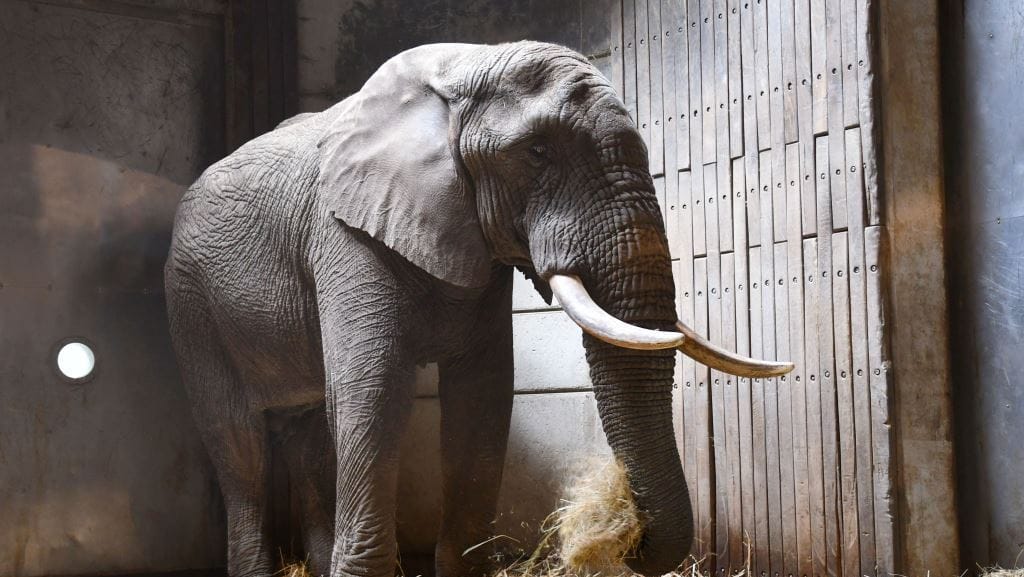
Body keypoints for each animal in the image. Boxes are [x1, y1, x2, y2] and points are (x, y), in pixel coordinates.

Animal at [165, 40, 790, 577]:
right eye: (537, 153)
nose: (630, 539)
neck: (463, 67)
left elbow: (481, 396)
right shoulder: (343, 234)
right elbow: (375, 392)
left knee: (308, 430)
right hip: (190, 300)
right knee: (240, 443)